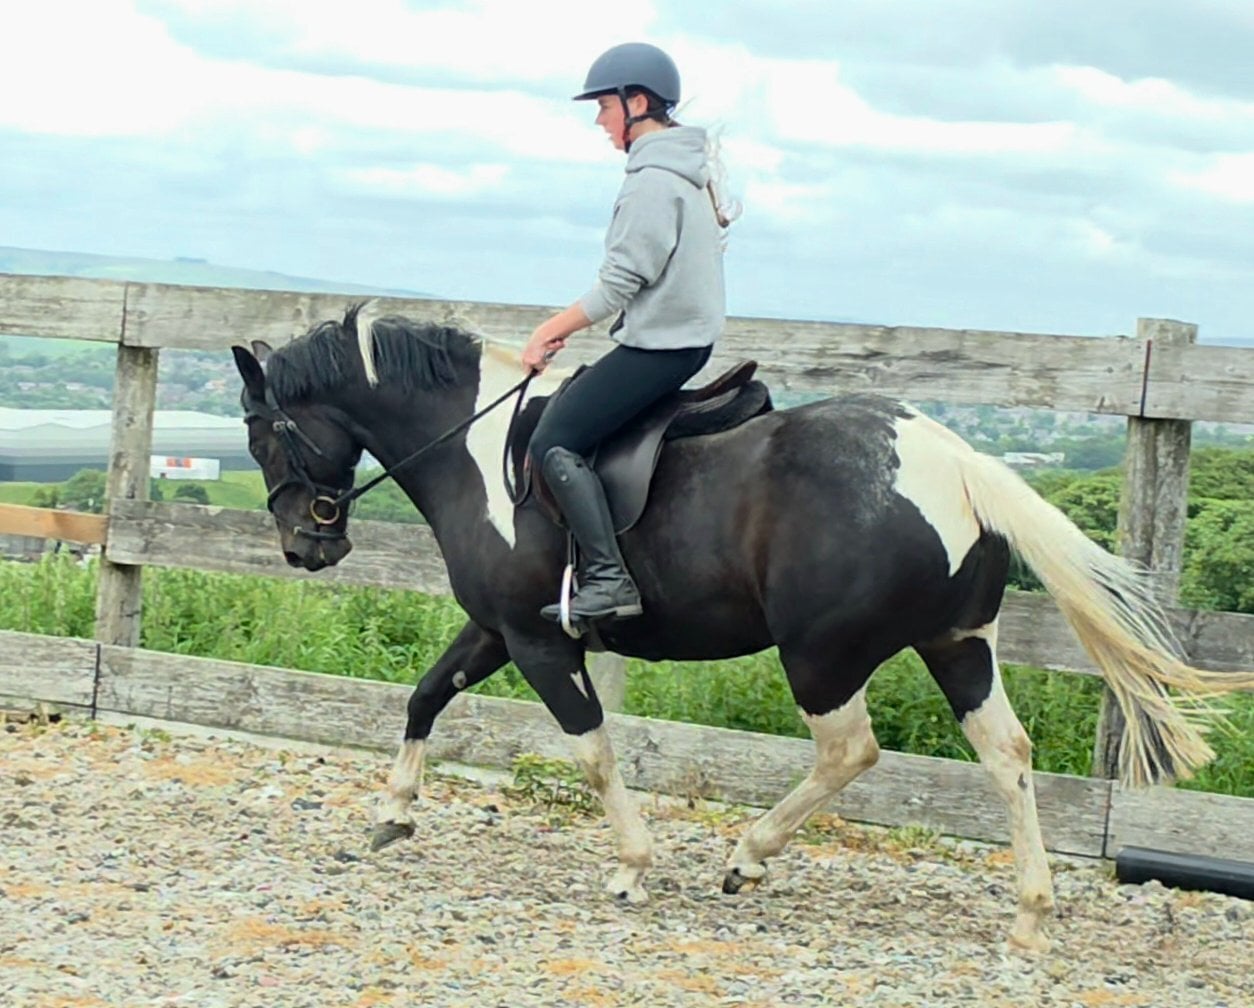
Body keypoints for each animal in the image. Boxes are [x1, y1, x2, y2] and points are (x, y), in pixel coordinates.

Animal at [231, 304, 1248, 952]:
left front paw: (632, 867)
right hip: (958, 646)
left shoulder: (538, 639)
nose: (305, 546)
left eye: (263, 430)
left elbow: (592, 750)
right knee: (1009, 754)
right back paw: (1030, 915)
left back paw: (747, 858)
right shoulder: (496, 628)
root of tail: (951, 458)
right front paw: (392, 813)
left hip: (822, 655)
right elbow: (424, 695)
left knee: (850, 751)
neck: (480, 454)